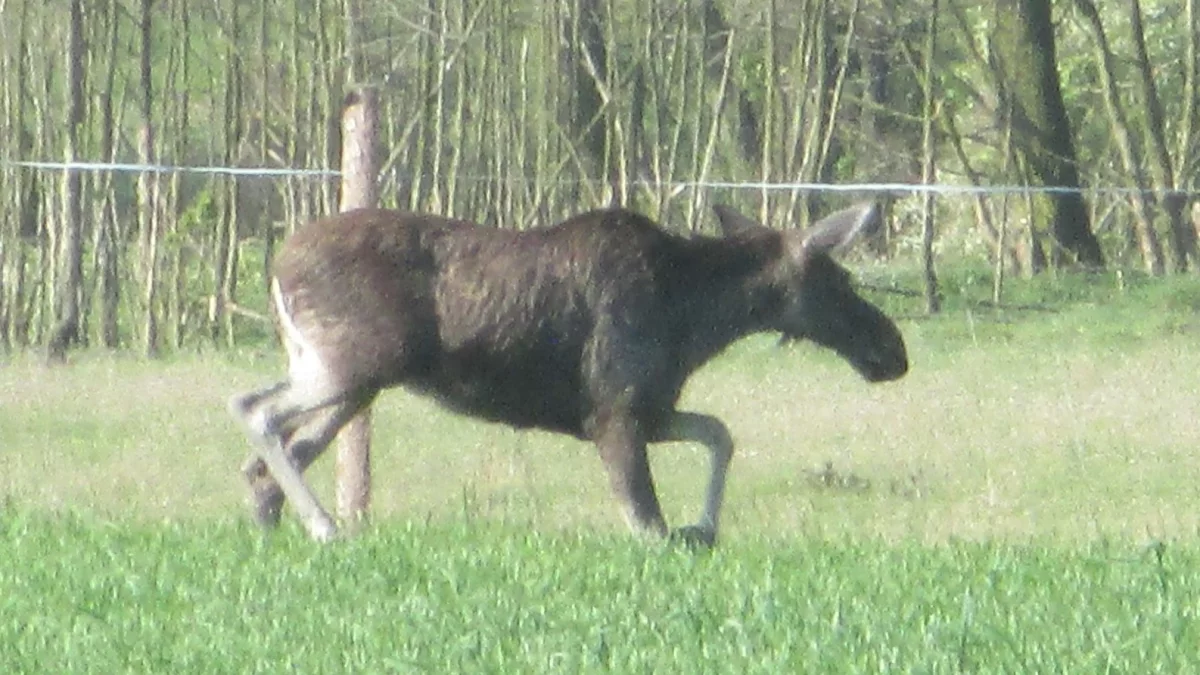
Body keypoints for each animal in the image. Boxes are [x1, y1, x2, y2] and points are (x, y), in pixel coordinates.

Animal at [226, 201, 907, 542]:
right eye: (839, 280)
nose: (894, 350)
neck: (698, 315)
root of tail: (276, 268)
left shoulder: (644, 409)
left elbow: (719, 432)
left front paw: (705, 527)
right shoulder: (615, 412)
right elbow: (646, 521)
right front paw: (688, 529)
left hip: (352, 381)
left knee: (270, 458)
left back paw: (273, 529)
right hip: (356, 364)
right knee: (253, 409)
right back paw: (323, 526)